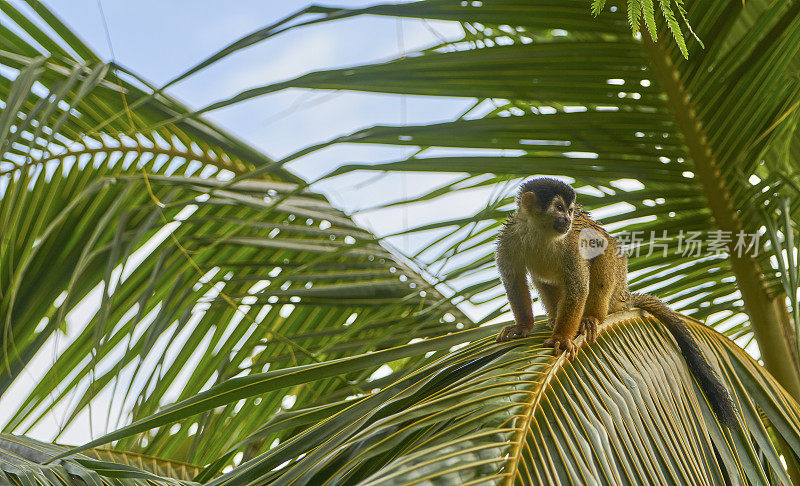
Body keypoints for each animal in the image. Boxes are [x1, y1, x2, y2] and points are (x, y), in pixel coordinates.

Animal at [494, 177, 736, 428]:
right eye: (559, 208)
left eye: (570, 210)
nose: (568, 220)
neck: (540, 233)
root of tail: (622, 296)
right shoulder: (510, 238)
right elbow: (514, 281)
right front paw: (523, 326)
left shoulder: (570, 245)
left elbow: (578, 287)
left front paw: (561, 338)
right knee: (545, 279)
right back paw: (555, 319)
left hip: (616, 275)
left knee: (603, 253)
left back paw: (591, 318)